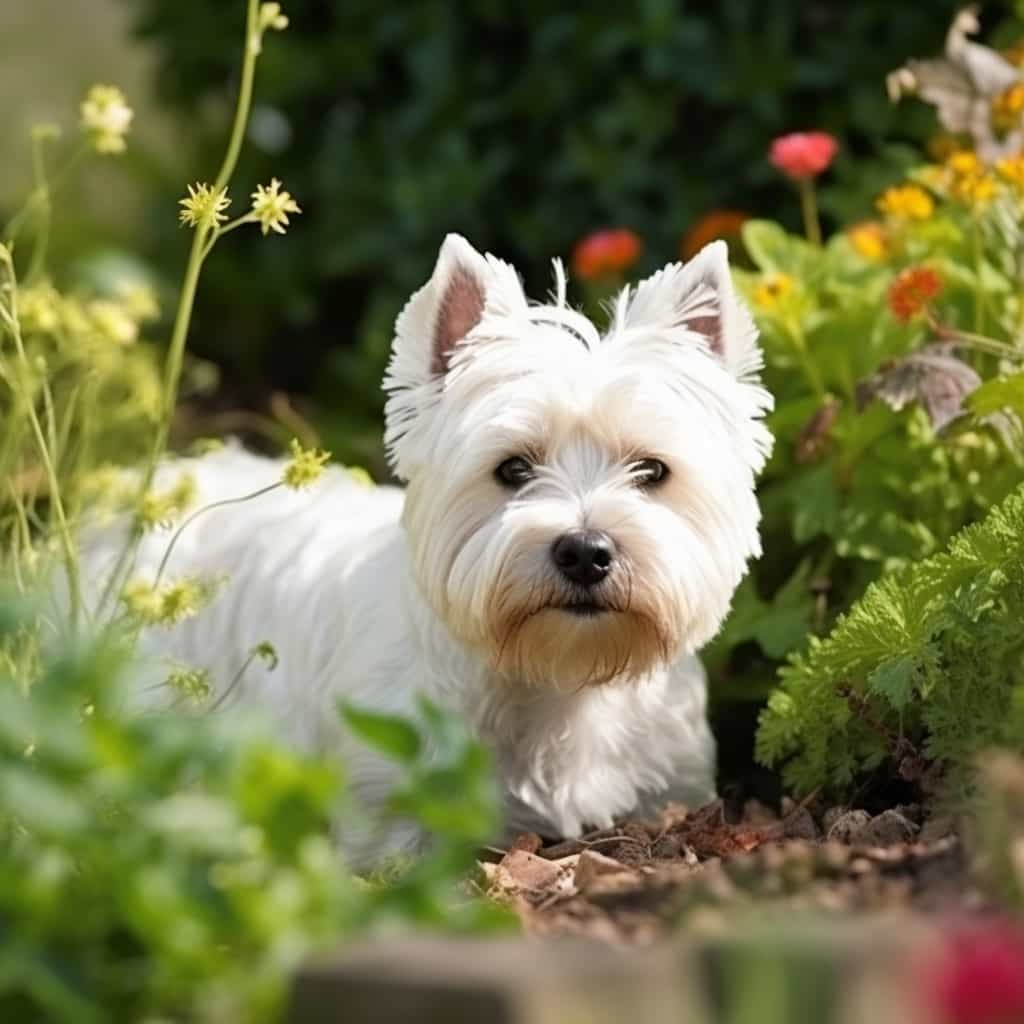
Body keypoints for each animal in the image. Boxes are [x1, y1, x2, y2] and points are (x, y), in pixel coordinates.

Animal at [97, 232, 770, 856]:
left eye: (652, 470)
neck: (558, 681)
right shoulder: (388, 807)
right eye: (512, 468)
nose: (585, 551)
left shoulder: (673, 786)